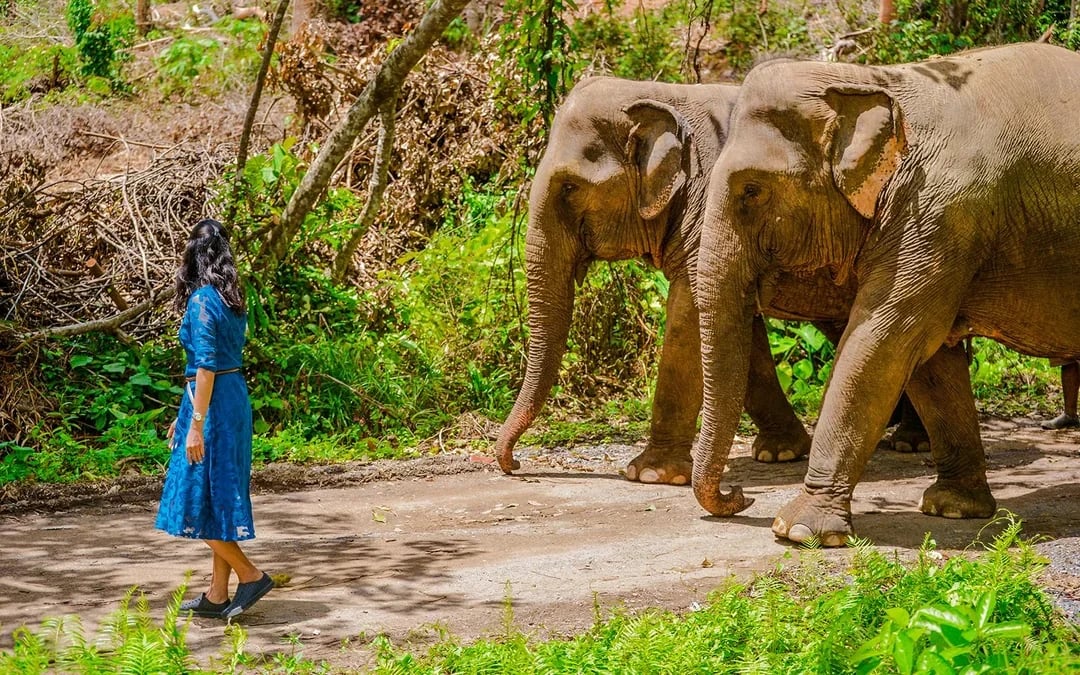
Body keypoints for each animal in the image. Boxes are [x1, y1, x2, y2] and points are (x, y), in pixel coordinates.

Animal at [491, 76, 929, 485]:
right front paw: (779, 453)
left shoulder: (716, 211)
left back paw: (911, 443)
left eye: (569, 187)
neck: (662, 94)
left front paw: (650, 475)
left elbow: (689, 320)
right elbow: (739, 331)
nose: (515, 465)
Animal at [692, 42, 1080, 546]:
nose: (740, 496)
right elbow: (930, 358)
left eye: (752, 190)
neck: (871, 80)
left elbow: (884, 340)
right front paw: (952, 508)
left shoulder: (940, 212)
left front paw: (798, 530)